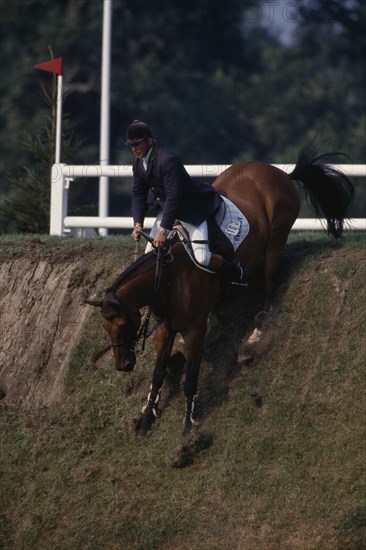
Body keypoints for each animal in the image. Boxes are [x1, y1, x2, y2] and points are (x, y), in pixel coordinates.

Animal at [86, 144, 354, 438]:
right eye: (105, 327)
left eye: (123, 324)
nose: (123, 365)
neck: (167, 276)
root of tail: (279, 173)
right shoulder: (165, 328)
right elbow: (157, 374)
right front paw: (146, 419)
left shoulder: (194, 330)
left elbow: (191, 379)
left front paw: (189, 426)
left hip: (276, 239)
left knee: (269, 285)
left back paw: (256, 330)